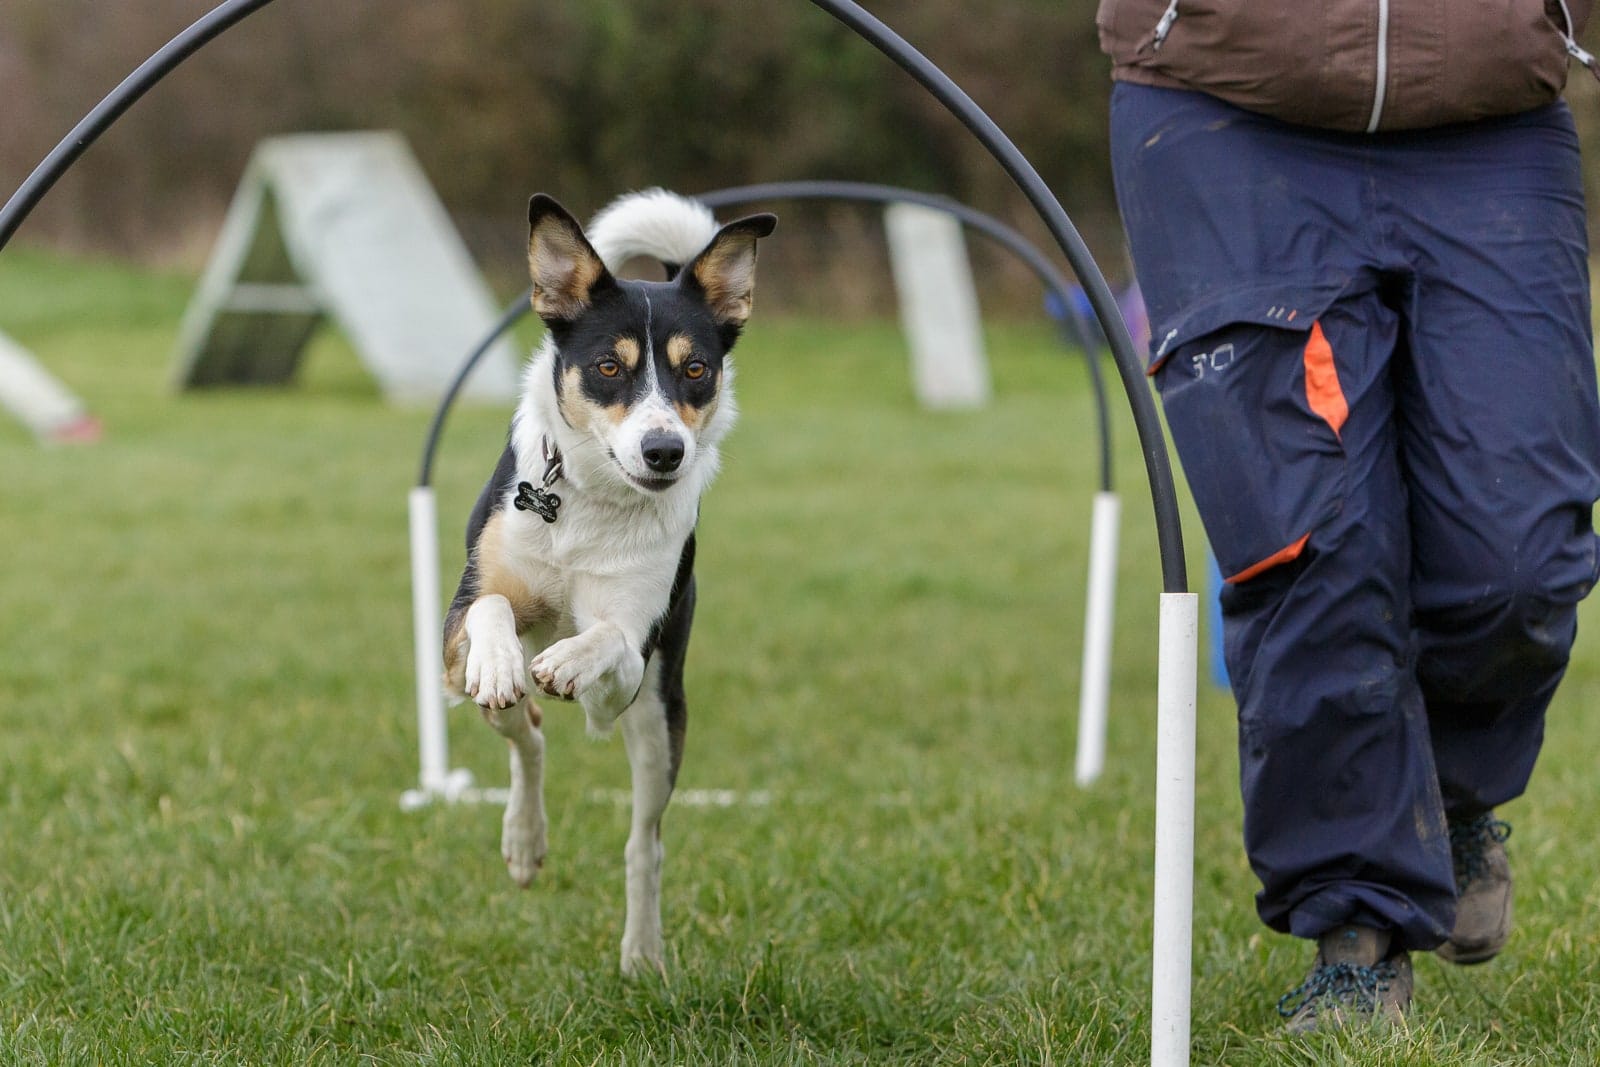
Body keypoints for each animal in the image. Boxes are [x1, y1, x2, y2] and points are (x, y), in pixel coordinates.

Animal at [444, 189, 774, 979]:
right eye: (606, 367)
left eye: (696, 370)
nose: (664, 451)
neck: (590, 501)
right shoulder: (456, 621)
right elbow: (492, 609)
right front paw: (504, 660)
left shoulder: (626, 669)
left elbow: (612, 640)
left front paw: (568, 658)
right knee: (524, 734)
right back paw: (524, 839)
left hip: (660, 722)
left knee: (644, 842)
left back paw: (642, 952)